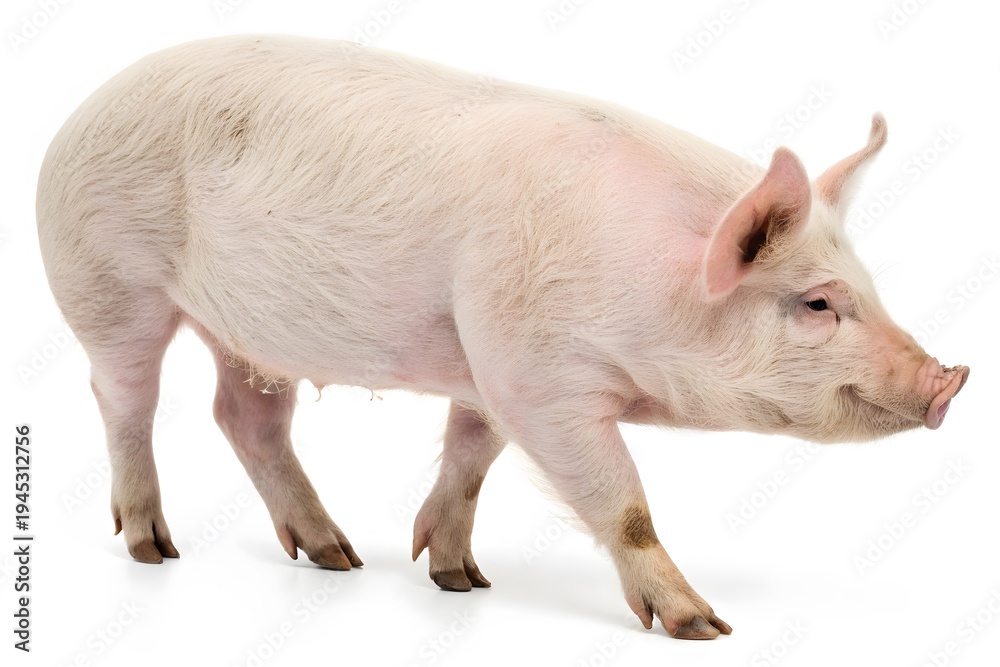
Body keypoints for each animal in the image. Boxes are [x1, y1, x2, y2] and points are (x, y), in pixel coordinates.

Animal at [36, 35, 969, 640]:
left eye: (869, 287)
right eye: (816, 303)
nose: (951, 378)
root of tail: (85, 105)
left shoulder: (486, 360)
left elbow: (471, 454)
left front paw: (458, 578)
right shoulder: (536, 374)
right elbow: (622, 502)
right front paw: (704, 625)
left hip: (248, 332)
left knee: (246, 417)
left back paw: (338, 557)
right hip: (108, 280)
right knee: (123, 395)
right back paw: (154, 548)